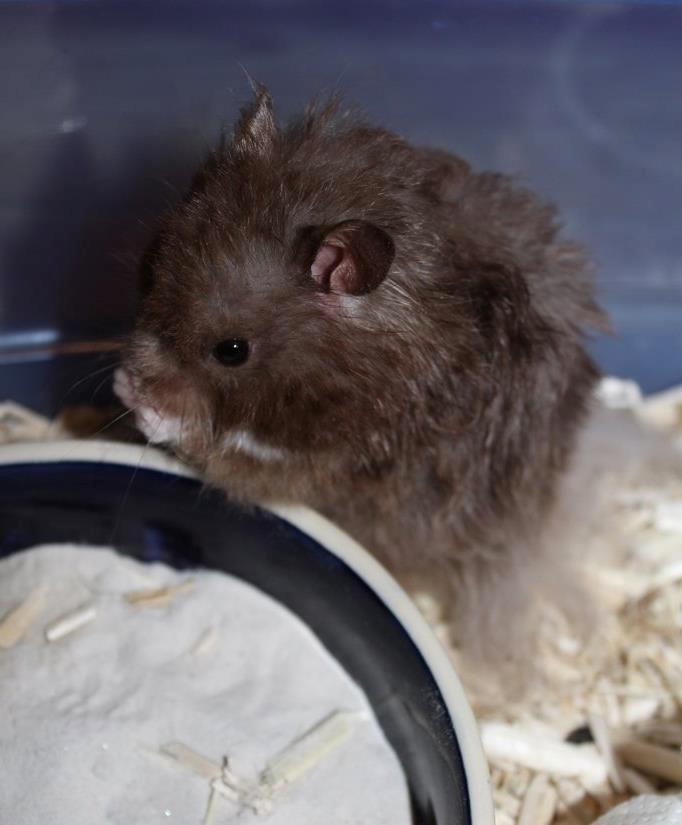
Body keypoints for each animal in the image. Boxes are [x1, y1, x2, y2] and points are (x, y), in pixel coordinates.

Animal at [116, 86, 607, 673]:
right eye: (148, 268)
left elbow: (224, 452)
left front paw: (145, 405)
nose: (129, 379)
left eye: (231, 351)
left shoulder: (339, 462)